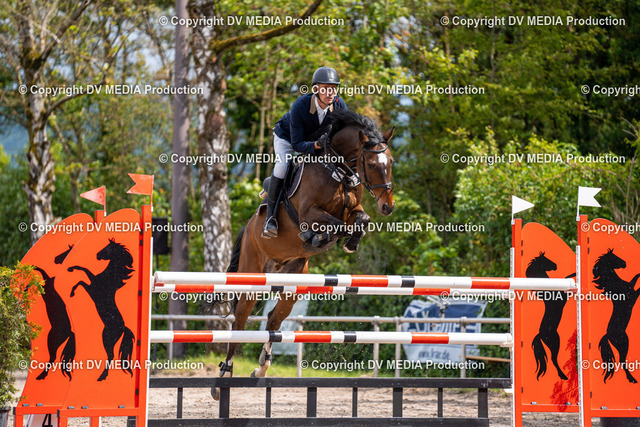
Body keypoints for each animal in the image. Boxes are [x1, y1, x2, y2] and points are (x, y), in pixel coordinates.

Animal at [34, 245, 76, 380]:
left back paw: (41, 376)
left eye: (66, 252)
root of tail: (70, 332)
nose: (56, 259)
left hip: (52, 340)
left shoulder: (46, 287)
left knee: (53, 357)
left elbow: (42, 273)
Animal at [67, 238, 135, 381]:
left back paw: (101, 376)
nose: (97, 255)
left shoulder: (92, 289)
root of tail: (123, 328)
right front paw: (71, 268)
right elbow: (85, 271)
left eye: (108, 248)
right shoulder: (92, 281)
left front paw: (71, 293)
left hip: (106, 338)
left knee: (111, 355)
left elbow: (81, 281)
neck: (110, 277)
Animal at [212, 110, 395, 398]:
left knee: (274, 320)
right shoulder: (309, 214)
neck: (338, 172)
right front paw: (320, 239)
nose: (388, 206)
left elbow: (361, 218)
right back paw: (224, 376)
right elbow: (334, 225)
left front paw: (350, 242)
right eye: (372, 163)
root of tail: (249, 227)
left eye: (391, 162)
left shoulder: (353, 209)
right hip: (252, 275)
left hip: (293, 281)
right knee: (240, 320)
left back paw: (261, 369)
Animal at [528, 251, 574, 381]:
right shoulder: (563, 296)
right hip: (554, 342)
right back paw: (563, 376)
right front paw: (574, 274)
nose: (555, 265)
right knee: (554, 359)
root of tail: (540, 334)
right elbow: (567, 278)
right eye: (545, 260)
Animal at [593, 248, 640, 383]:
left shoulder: (631, 286)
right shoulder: (633, 296)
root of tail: (608, 335)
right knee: (622, 361)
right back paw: (632, 379)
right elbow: (638, 287)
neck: (615, 284)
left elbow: (635, 278)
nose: (625, 263)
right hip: (624, 344)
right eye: (614, 257)